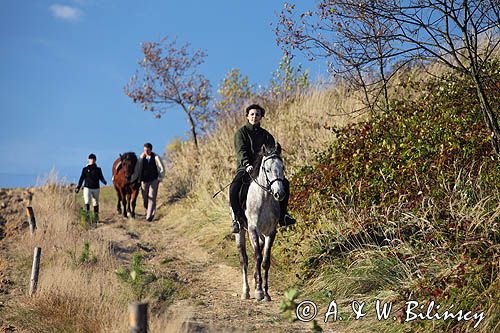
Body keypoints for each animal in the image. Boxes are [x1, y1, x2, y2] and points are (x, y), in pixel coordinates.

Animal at [234, 143, 286, 300]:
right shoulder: (252, 229)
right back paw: (246, 291)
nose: (279, 194)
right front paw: (258, 291)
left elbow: (265, 261)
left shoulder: (271, 232)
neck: (265, 198)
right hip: (241, 232)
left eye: (282, 167)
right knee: (244, 259)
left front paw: (266, 292)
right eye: (267, 169)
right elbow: (257, 257)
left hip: (261, 235)